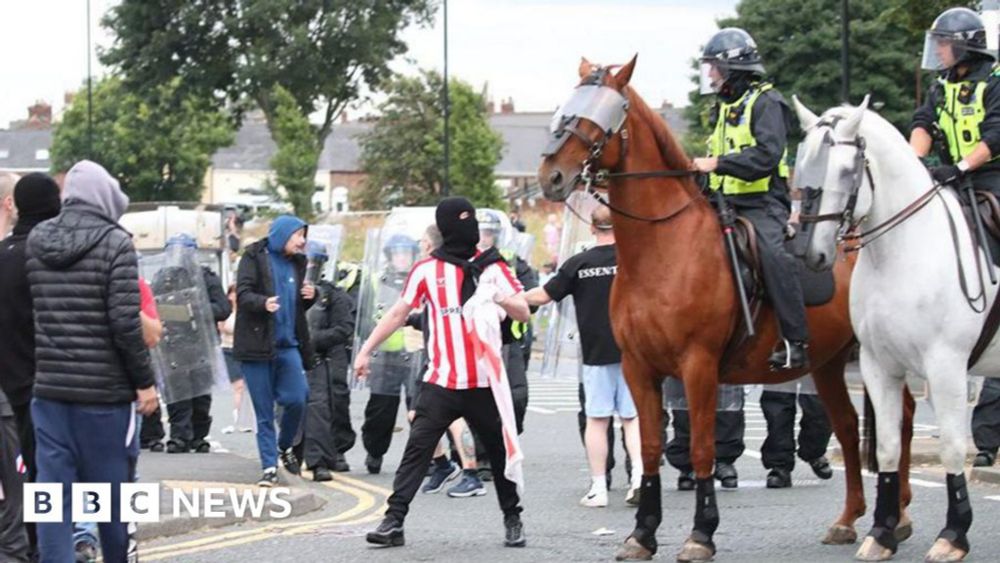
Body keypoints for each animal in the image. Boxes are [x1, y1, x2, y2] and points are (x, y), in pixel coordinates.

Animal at [540, 58, 916, 563]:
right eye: (568, 106)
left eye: (602, 113)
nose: (551, 175)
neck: (662, 250)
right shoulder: (639, 367)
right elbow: (651, 446)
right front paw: (643, 534)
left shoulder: (697, 366)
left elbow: (702, 449)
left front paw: (701, 533)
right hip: (830, 362)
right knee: (849, 425)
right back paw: (849, 518)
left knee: (903, 418)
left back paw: (898, 516)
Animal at [788, 98, 1000, 563]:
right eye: (801, 162)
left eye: (846, 170)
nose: (810, 253)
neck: (905, 251)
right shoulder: (878, 365)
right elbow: (886, 445)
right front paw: (882, 532)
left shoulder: (946, 367)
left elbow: (952, 446)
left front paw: (953, 535)